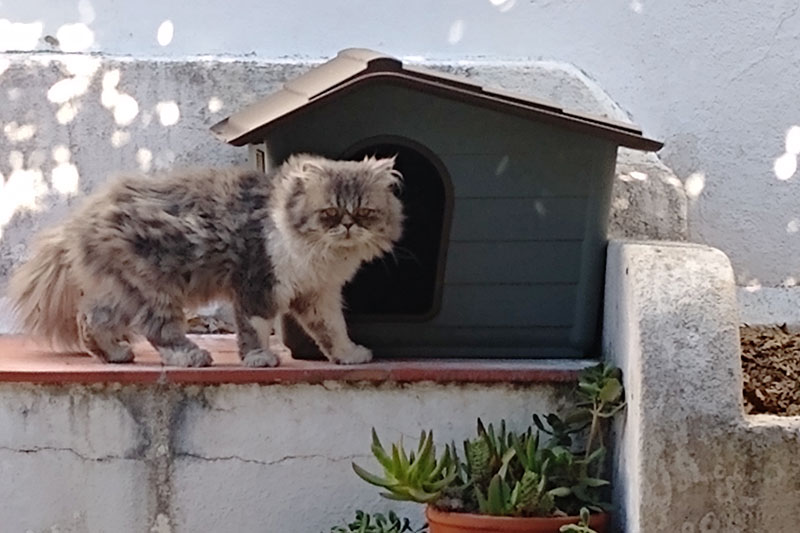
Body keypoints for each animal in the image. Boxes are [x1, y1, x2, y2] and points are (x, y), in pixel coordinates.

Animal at [6, 155, 404, 366]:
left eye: (365, 212)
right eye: (330, 213)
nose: (348, 226)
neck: (322, 258)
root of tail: (80, 218)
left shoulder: (317, 294)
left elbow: (333, 330)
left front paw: (350, 354)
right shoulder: (258, 283)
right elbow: (255, 330)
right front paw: (259, 359)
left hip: (124, 290)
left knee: (91, 319)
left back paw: (115, 354)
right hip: (157, 289)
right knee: (159, 332)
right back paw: (190, 356)